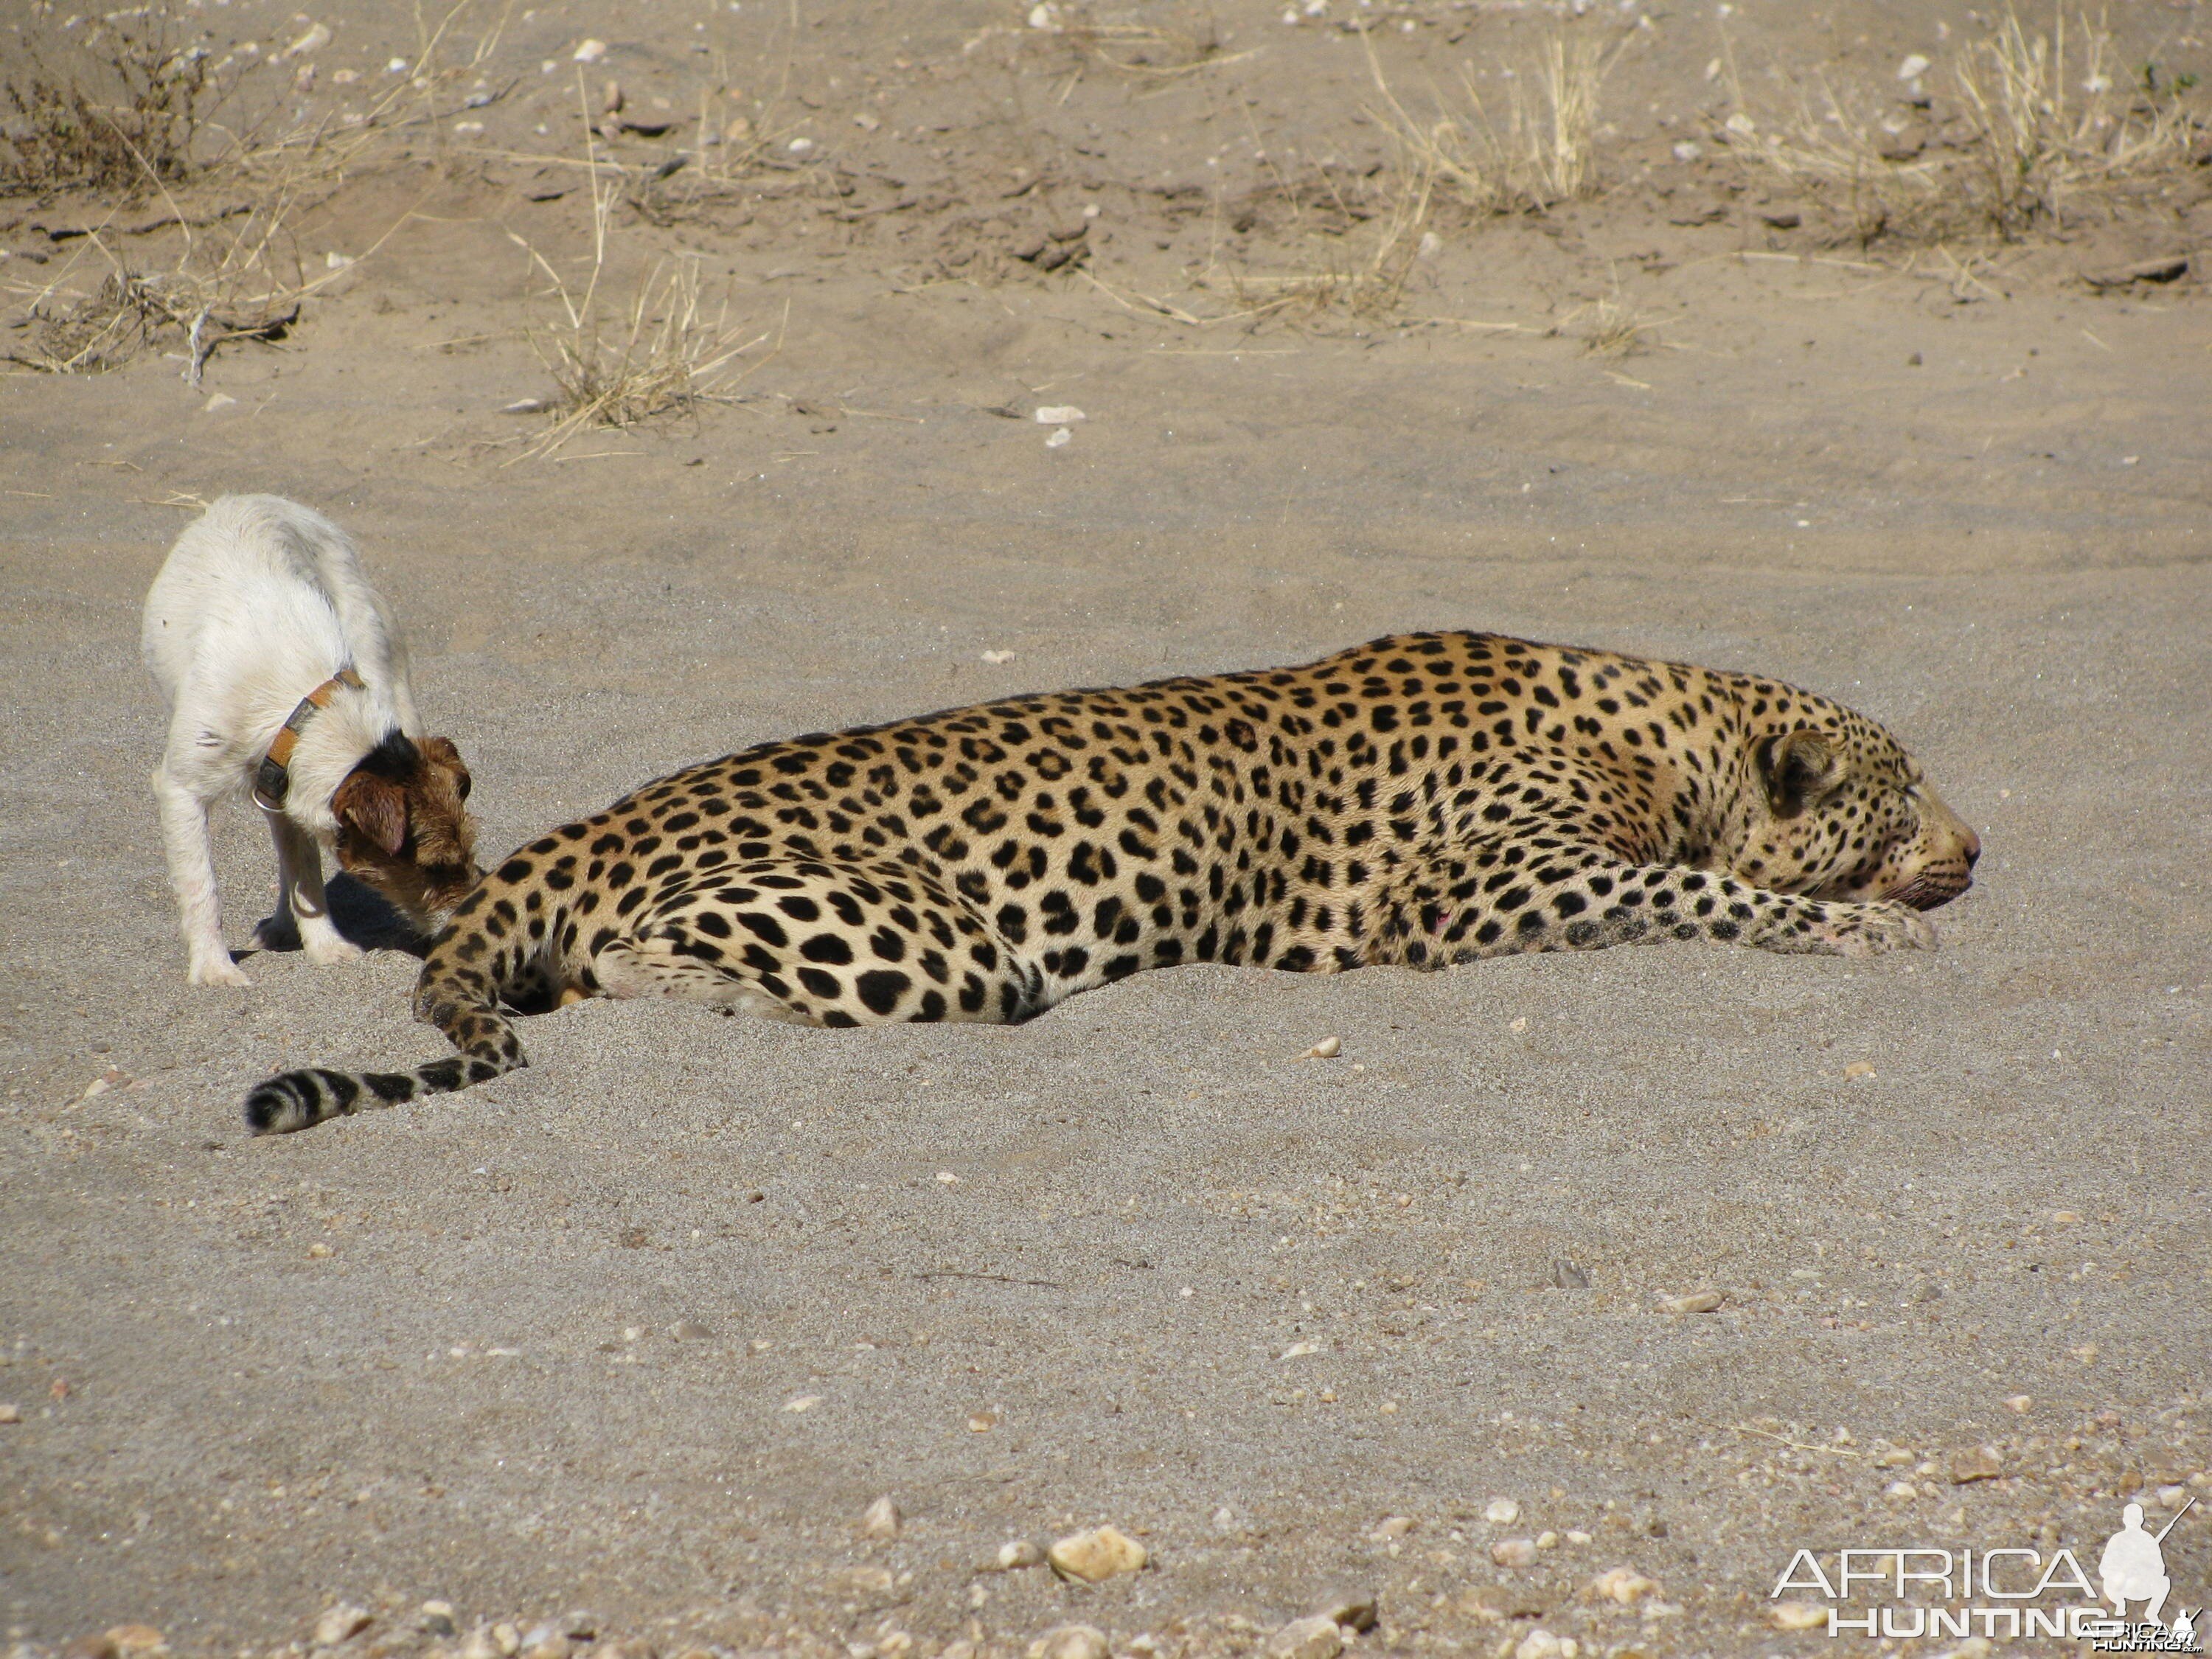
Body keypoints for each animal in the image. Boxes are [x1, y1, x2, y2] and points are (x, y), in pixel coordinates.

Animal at [144, 493, 484, 987]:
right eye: (435, 866)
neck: (302, 699)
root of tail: (253, 498)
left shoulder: (287, 776)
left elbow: (306, 874)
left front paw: (325, 947)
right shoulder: (183, 789)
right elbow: (202, 886)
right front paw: (213, 968)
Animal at [246, 628, 1991, 1141]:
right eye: (1907, 791)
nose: (1980, 851)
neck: (1668, 736)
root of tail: (587, 830)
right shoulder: (1470, 895)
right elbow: (1708, 897)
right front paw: (1856, 932)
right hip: (940, 947)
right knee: (631, 973)